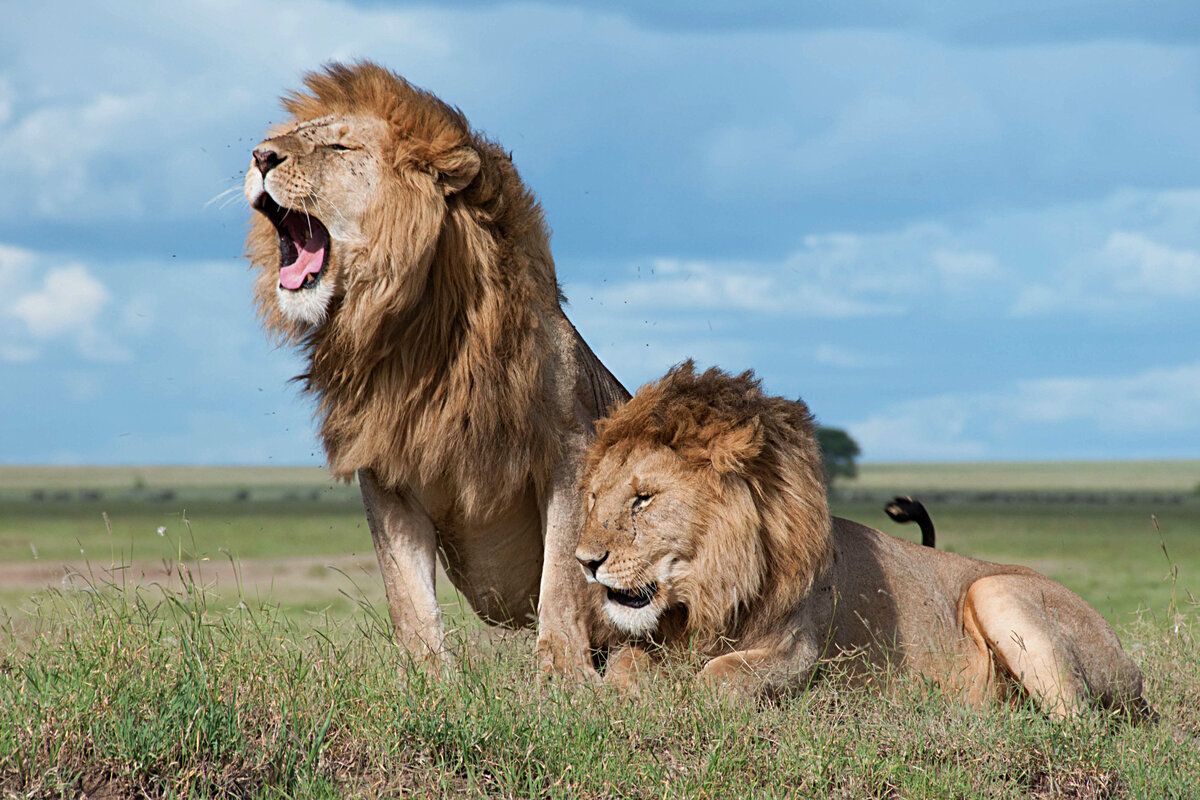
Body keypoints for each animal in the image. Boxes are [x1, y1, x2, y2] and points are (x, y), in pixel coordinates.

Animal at [580, 362, 1152, 719]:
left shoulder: (798, 651)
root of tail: (1133, 671)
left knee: (1079, 725)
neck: (706, 594)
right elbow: (624, 669)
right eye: (593, 497)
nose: (586, 562)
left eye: (643, 499)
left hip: (996, 590)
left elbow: (717, 677)